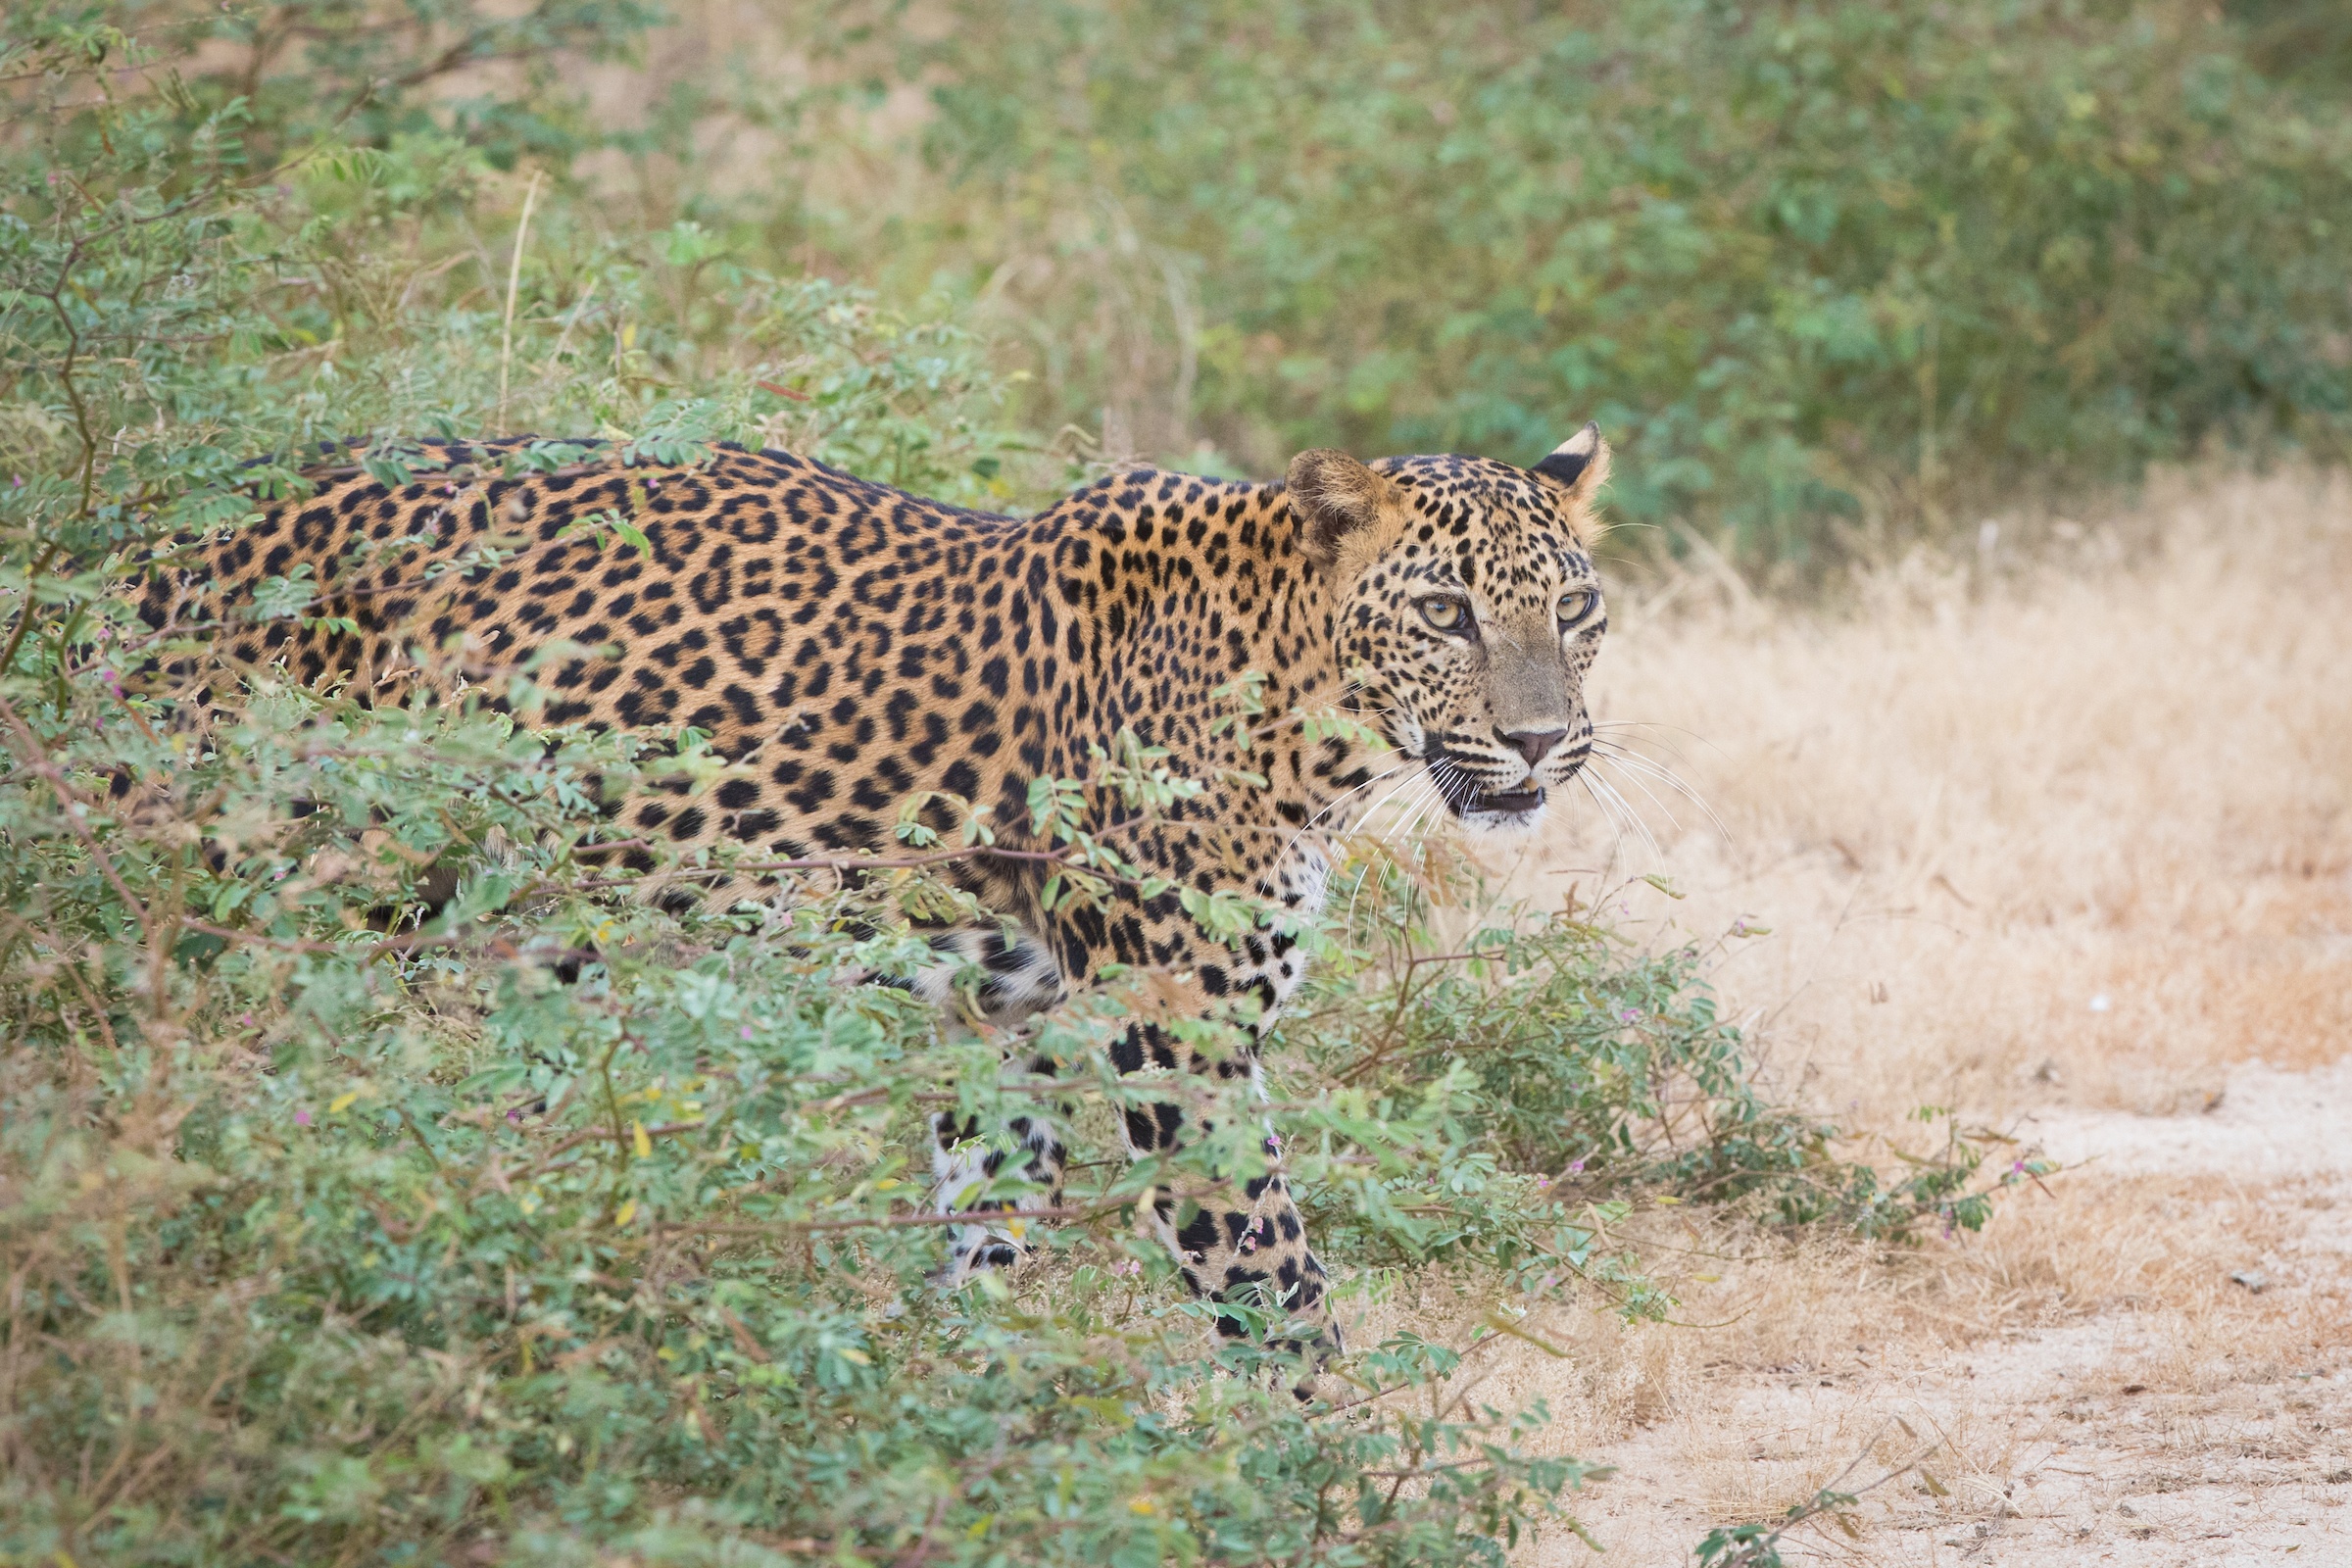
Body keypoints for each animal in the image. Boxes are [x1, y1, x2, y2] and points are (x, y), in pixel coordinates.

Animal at [131, 420, 1614, 1367]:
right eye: (1444, 614)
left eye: (1577, 608)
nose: (1545, 742)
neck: (1309, 718)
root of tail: (161, 529)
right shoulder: (1178, 1038)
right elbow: (1275, 1285)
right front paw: (1338, 1478)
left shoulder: (995, 1021)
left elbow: (992, 1238)